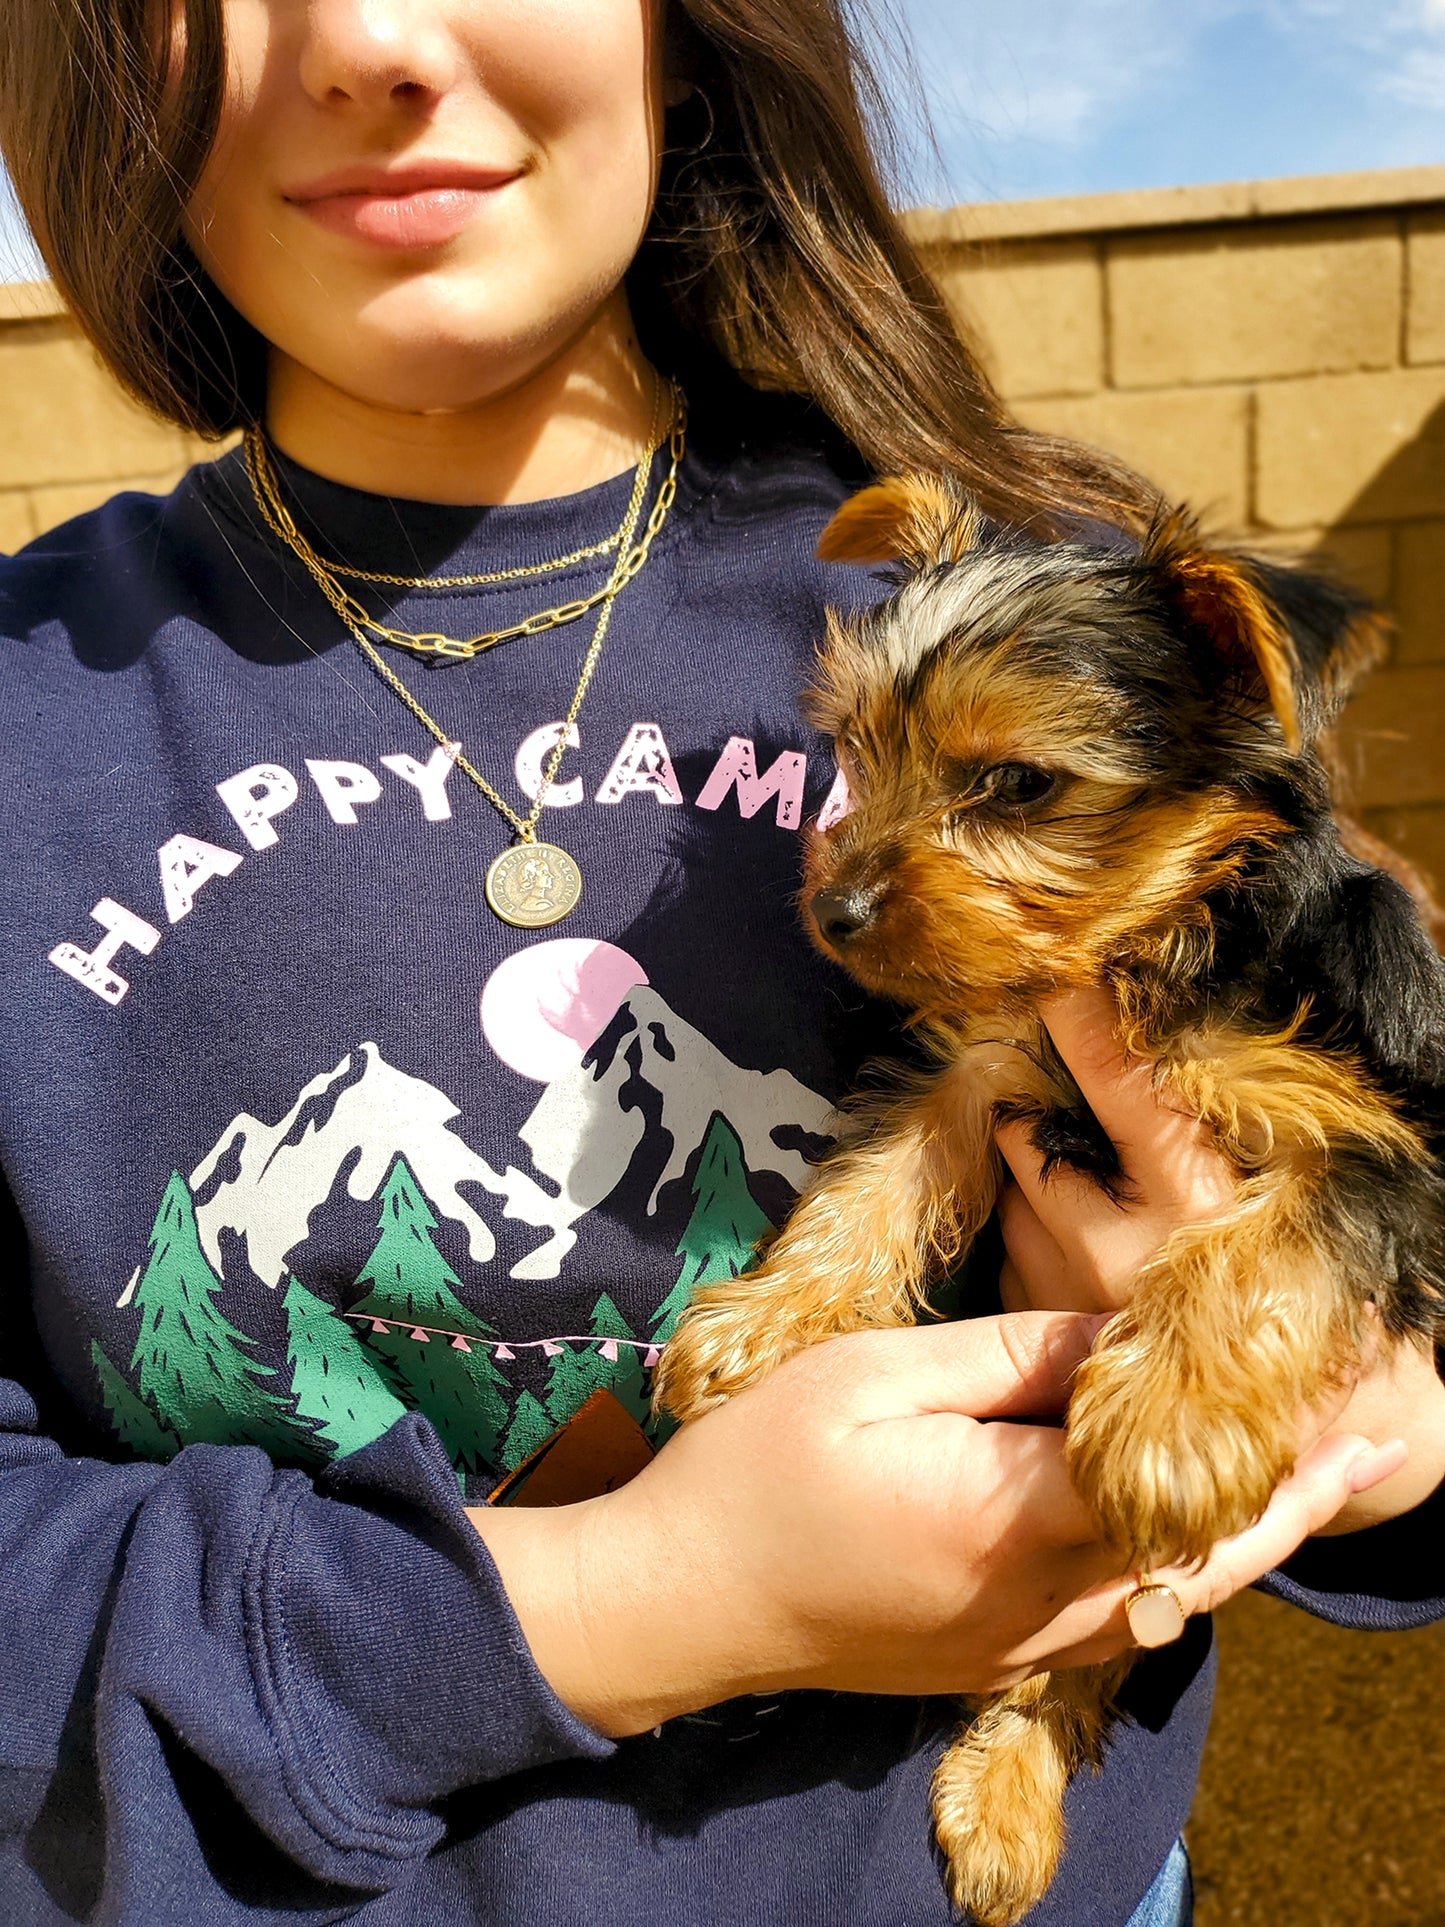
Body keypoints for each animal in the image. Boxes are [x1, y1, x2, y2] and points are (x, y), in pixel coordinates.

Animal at [655, 474, 1445, 1919]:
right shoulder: (981, 1058)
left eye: (1017, 783)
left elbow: (1257, 1250)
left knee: (1103, 1635)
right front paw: (767, 1319)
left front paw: (1164, 1422)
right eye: (858, 750)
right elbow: (877, 1176)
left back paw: (1011, 1785)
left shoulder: (1376, 1143)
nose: (836, 908)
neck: (1155, 944)